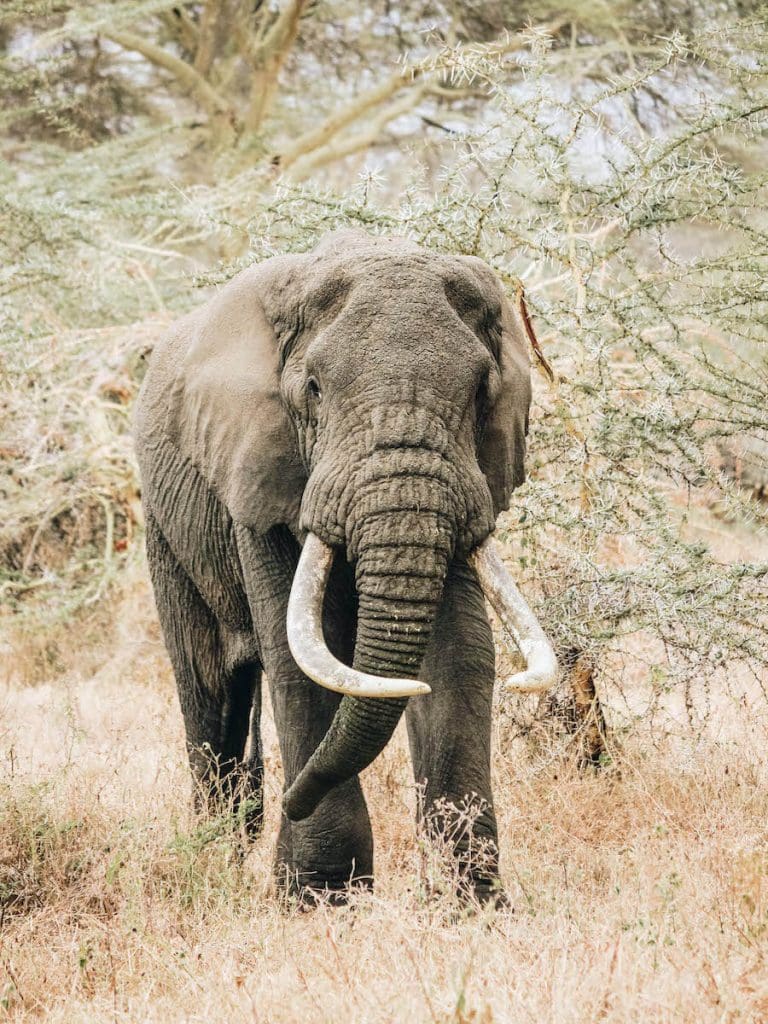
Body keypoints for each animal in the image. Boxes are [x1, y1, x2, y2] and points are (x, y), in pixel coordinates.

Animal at [135, 230, 557, 905]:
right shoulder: (259, 472)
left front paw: (472, 902)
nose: (293, 797)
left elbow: (460, 655)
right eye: (312, 388)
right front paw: (318, 899)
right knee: (209, 688)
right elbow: (296, 658)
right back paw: (213, 857)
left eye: (479, 392)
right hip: (166, 523)